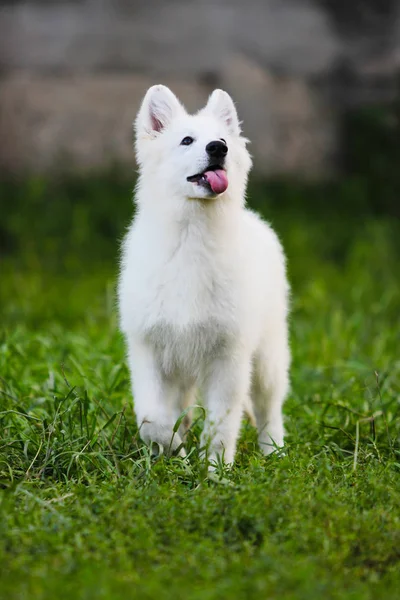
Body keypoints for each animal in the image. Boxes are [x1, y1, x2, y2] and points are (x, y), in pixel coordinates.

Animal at [117, 84, 290, 466]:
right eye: (187, 140)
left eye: (222, 140)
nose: (218, 148)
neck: (191, 236)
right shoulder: (149, 352)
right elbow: (153, 419)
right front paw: (175, 456)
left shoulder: (229, 358)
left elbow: (221, 427)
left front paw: (215, 471)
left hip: (267, 359)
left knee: (269, 408)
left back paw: (274, 452)